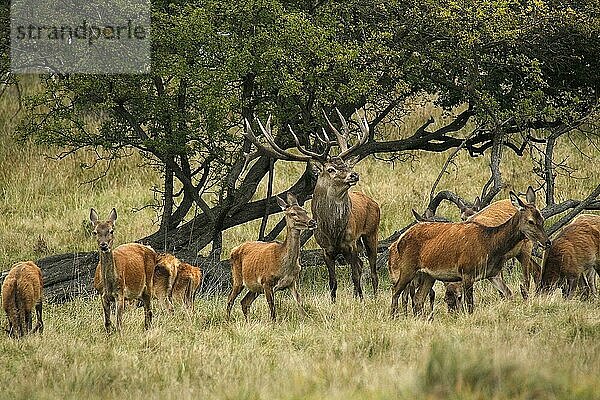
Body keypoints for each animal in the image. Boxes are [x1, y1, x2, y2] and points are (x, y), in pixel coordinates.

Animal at [226, 194, 318, 322]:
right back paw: (227, 320)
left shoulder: (292, 282)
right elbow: (272, 309)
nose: (312, 222)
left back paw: (247, 322)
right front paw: (274, 324)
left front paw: (305, 320)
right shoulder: (266, 282)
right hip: (237, 279)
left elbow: (299, 303)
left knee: (244, 302)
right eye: (293, 213)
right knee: (230, 299)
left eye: (305, 211)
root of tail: (233, 250)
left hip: (255, 288)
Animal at [243, 108, 380, 302]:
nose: (354, 175)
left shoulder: (350, 243)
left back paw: (373, 296)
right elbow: (333, 282)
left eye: (346, 165)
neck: (333, 230)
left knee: (372, 270)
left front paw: (360, 300)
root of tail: (373, 202)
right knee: (361, 265)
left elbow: (354, 276)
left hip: (371, 232)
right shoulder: (325, 249)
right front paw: (334, 301)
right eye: (330, 169)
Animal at [386, 189, 552, 318]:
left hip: (428, 275)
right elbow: (471, 306)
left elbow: (508, 294)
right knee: (396, 290)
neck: (490, 245)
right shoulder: (467, 272)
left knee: (418, 298)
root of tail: (400, 239)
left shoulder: (492, 273)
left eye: (542, 218)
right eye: (530, 221)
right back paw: (393, 317)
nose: (547, 242)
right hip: (408, 267)